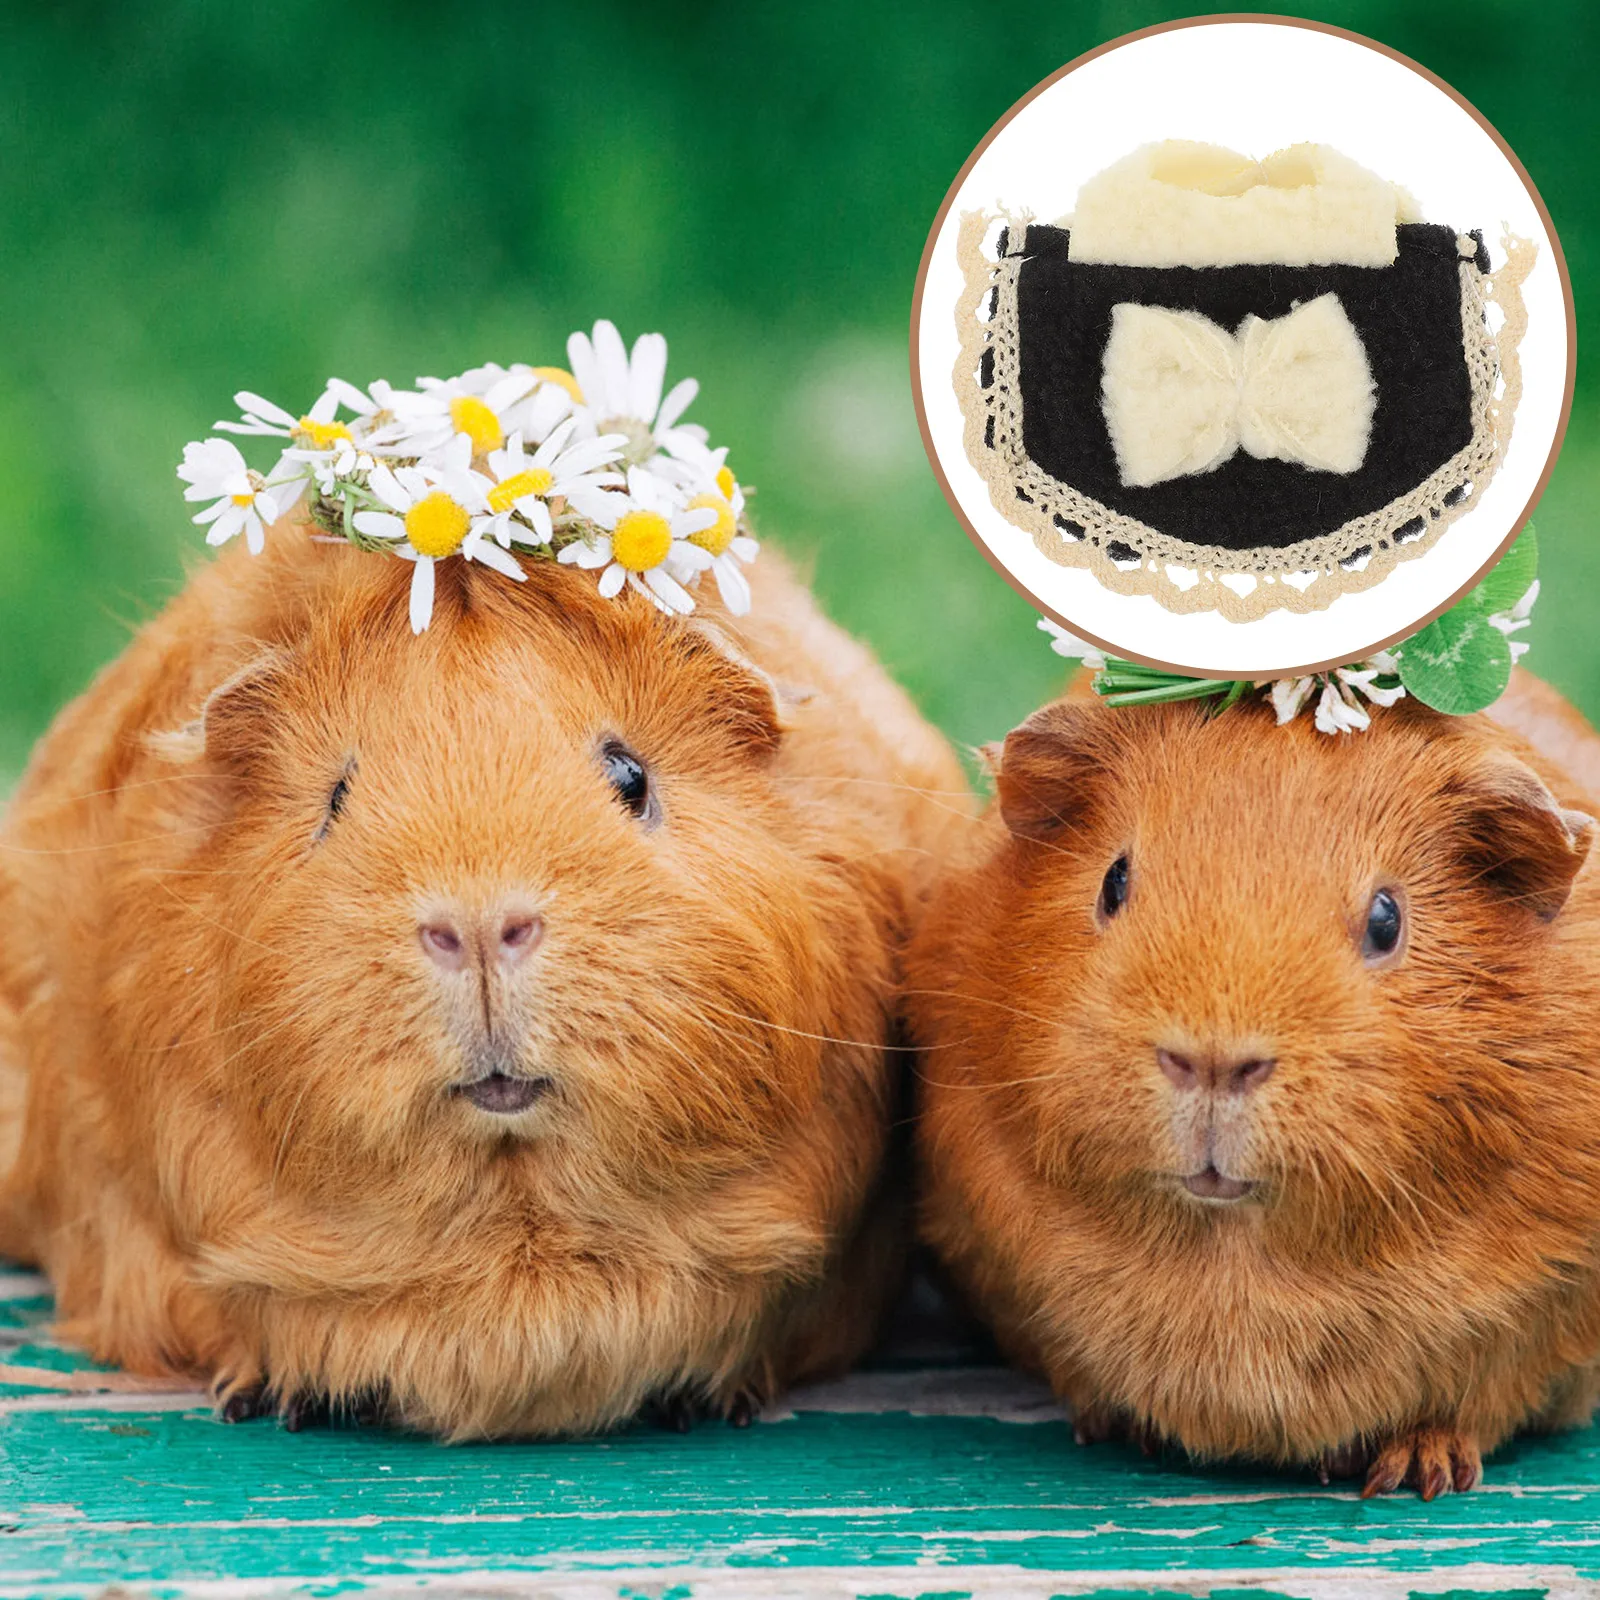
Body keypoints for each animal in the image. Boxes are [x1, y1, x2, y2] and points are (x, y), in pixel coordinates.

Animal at [909, 673, 1600, 1497]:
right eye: (1114, 880)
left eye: (1386, 918)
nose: (1212, 1061)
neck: (1233, 1270)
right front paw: (1128, 1427)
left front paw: (1413, 1470)